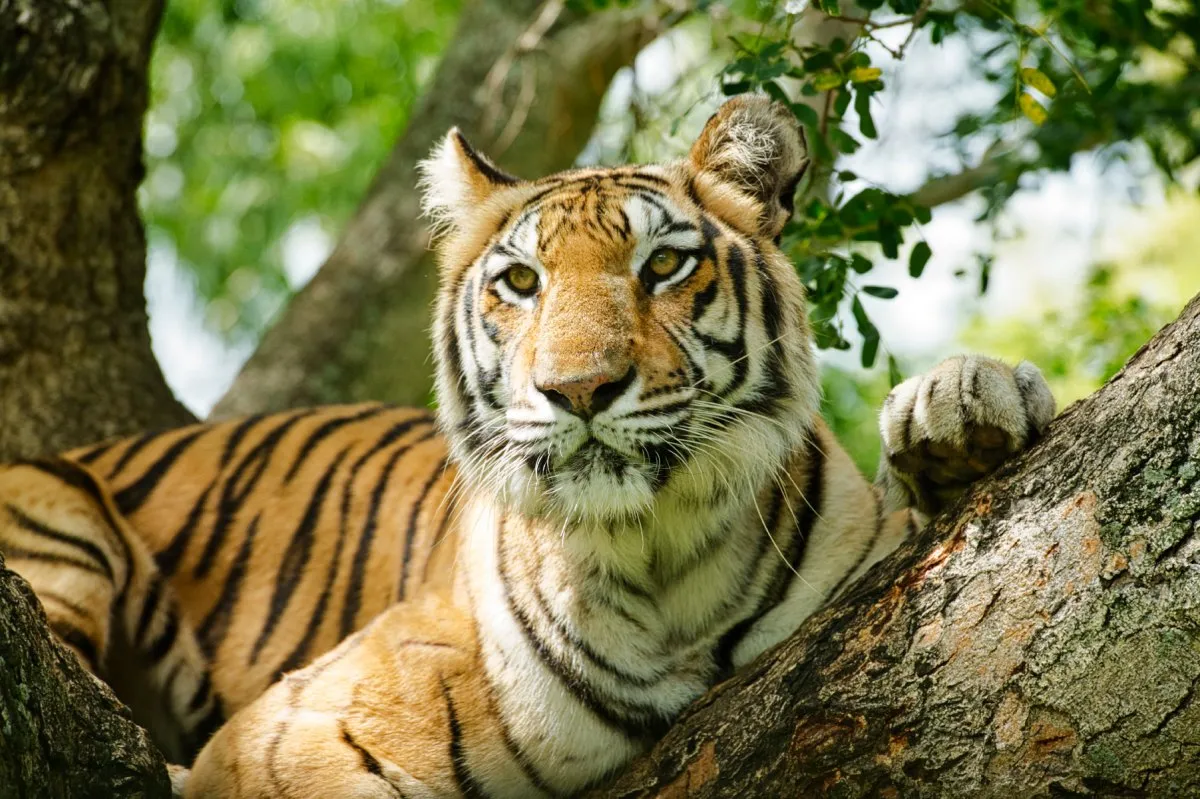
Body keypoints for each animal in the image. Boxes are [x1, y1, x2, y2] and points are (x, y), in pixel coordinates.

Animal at [0, 96, 1055, 797]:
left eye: (663, 264)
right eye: (519, 280)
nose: (577, 388)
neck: (661, 557)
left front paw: (965, 402)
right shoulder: (284, 738)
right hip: (63, 526)